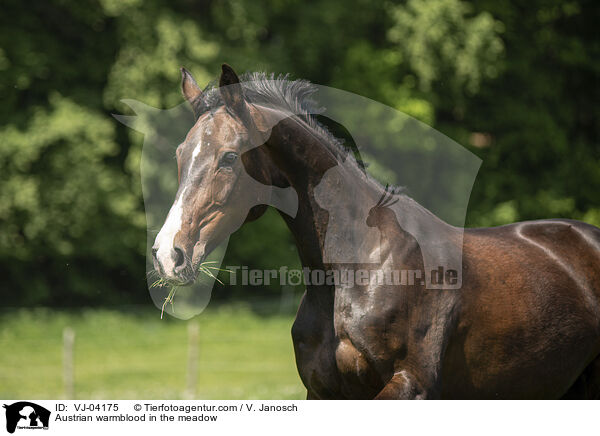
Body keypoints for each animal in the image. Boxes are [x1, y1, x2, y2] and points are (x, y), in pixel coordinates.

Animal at [152, 64, 600, 398]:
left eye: (228, 158)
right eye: (179, 154)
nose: (168, 255)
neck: (361, 268)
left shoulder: (408, 386)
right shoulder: (323, 392)